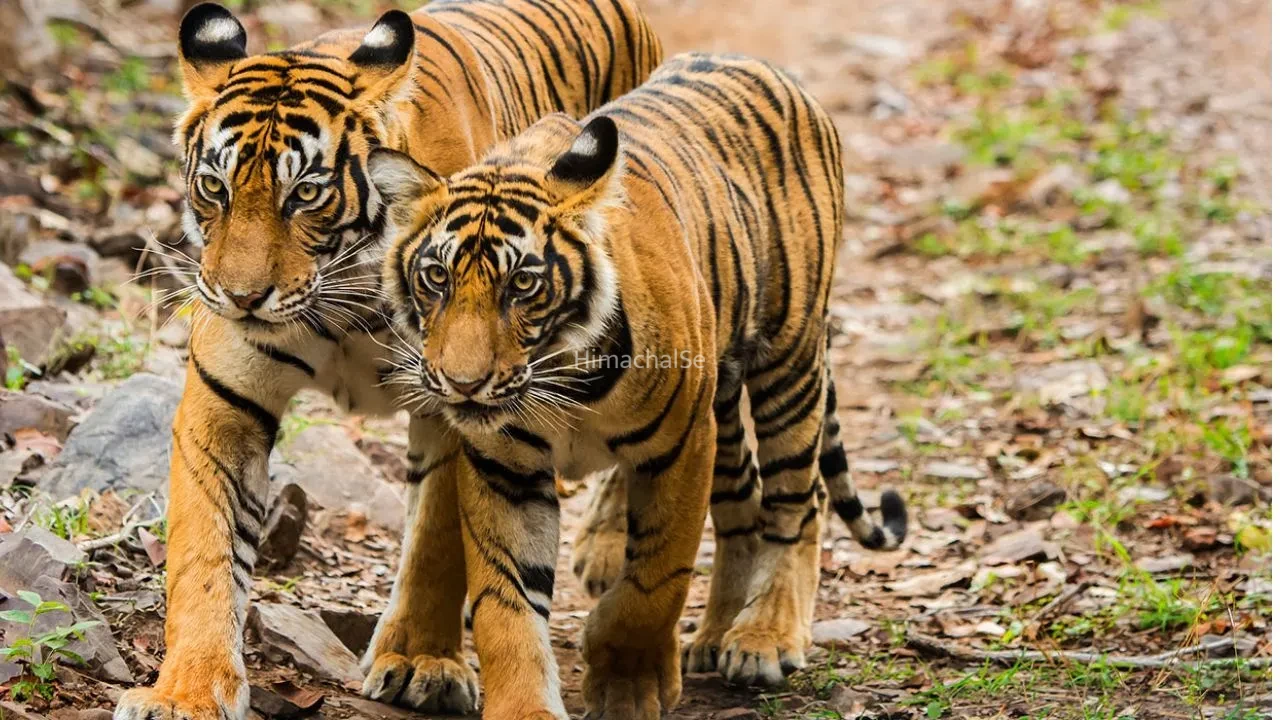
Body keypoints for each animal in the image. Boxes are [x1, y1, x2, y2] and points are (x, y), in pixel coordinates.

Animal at [112, 2, 660, 719]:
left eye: (305, 194)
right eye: (213, 187)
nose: (240, 297)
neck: (339, 298)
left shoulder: (460, 403)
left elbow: (435, 542)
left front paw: (420, 661)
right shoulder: (226, 403)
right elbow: (206, 553)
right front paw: (187, 692)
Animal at [368, 51, 908, 719]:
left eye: (523, 285)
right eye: (436, 278)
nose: (462, 384)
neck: (560, 377)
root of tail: (764, 66)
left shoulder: (680, 446)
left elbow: (654, 580)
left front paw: (629, 683)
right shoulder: (503, 466)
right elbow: (507, 601)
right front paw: (526, 704)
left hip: (790, 361)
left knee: (797, 499)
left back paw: (764, 638)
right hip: (725, 402)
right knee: (743, 499)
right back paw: (713, 637)